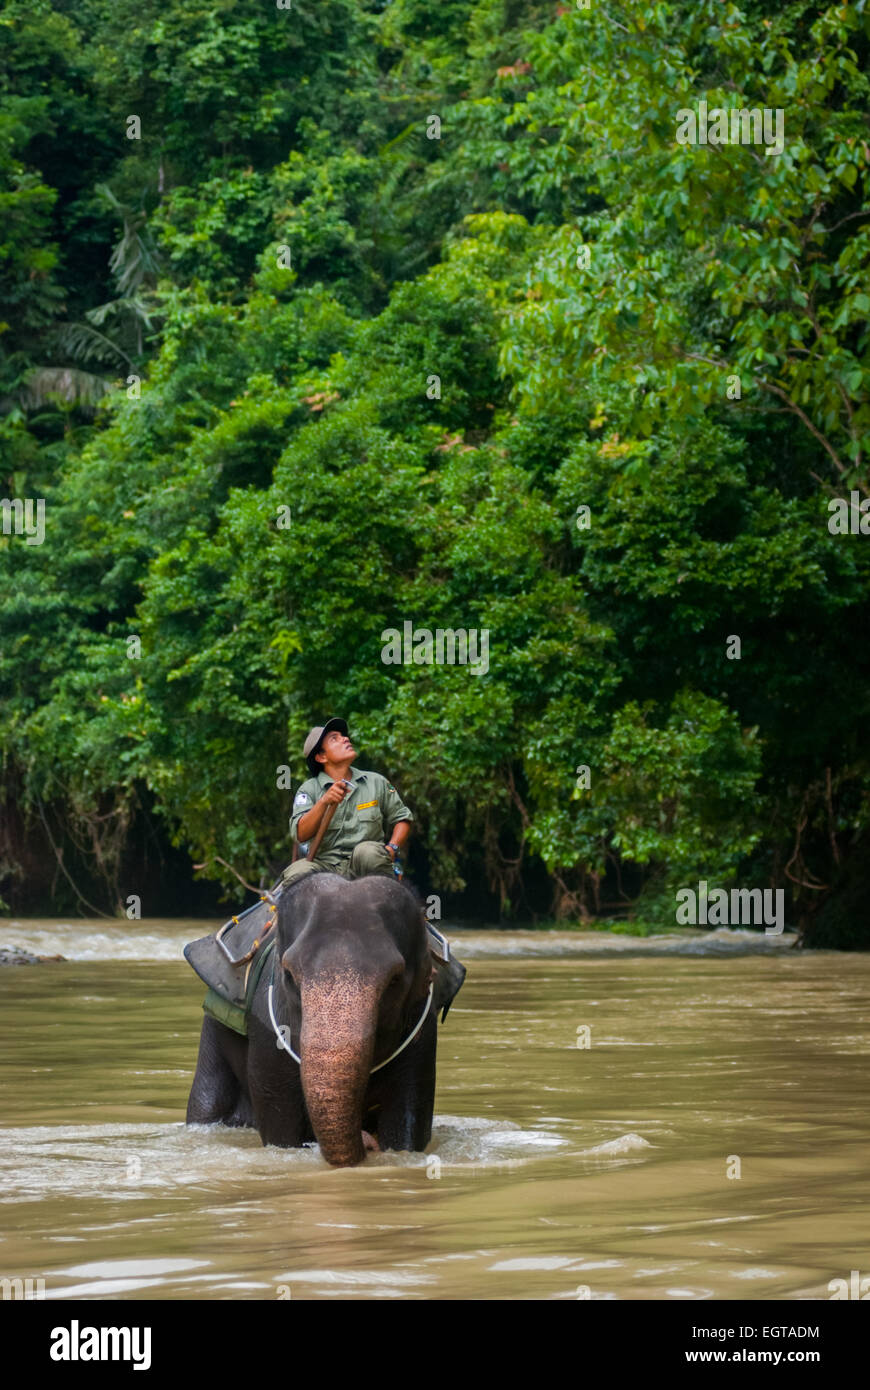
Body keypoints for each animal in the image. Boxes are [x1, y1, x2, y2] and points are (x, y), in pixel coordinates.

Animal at [183, 872, 439, 1167]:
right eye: (289, 975)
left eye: (395, 980)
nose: (368, 1140)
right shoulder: (268, 1027)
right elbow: (280, 1123)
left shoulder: (422, 1029)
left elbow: (408, 1116)